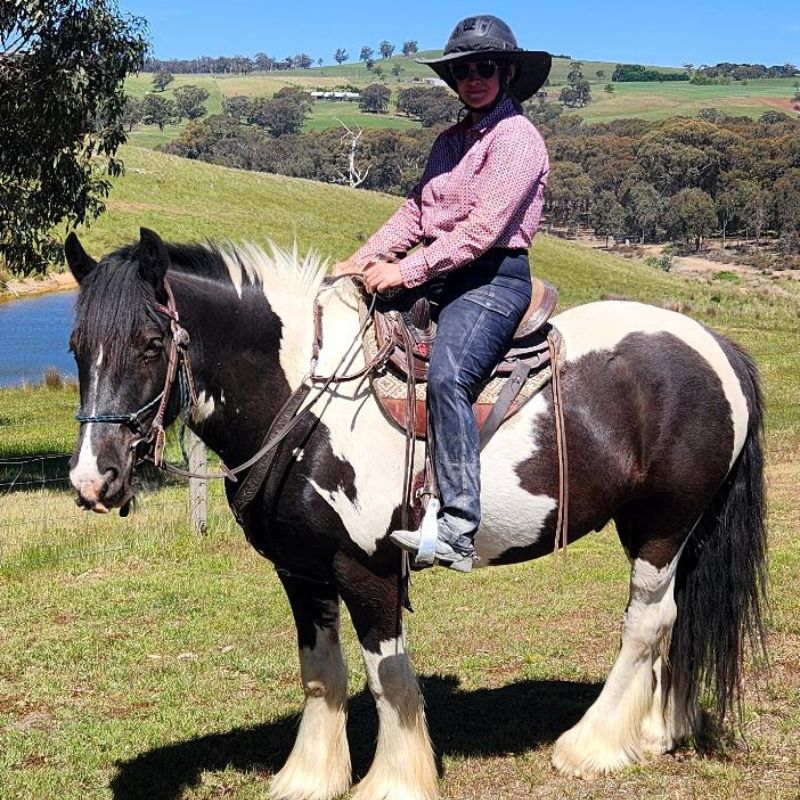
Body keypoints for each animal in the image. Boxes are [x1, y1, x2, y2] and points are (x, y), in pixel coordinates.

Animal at [67, 228, 768, 796]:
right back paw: (656, 731)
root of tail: (717, 346)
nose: (93, 479)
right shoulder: (301, 572)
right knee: (676, 616)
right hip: (676, 531)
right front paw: (311, 777)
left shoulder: (366, 570)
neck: (304, 400)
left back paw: (590, 746)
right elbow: (321, 672)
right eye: (76, 347)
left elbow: (389, 679)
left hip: (662, 527)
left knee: (647, 623)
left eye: (151, 344)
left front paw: (395, 782)